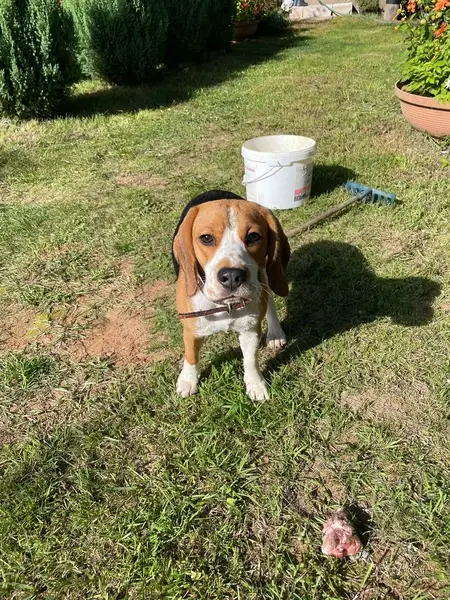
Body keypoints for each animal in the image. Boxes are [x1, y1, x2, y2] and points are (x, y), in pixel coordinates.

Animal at [172, 190, 290, 400]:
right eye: (206, 238)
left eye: (253, 236)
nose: (232, 276)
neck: (225, 305)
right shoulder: (191, 329)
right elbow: (191, 355)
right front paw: (187, 380)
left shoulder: (250, 330)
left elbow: (250, 360)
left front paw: (255, 384)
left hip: (265, 273)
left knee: (270, 300)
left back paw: (275, 333)